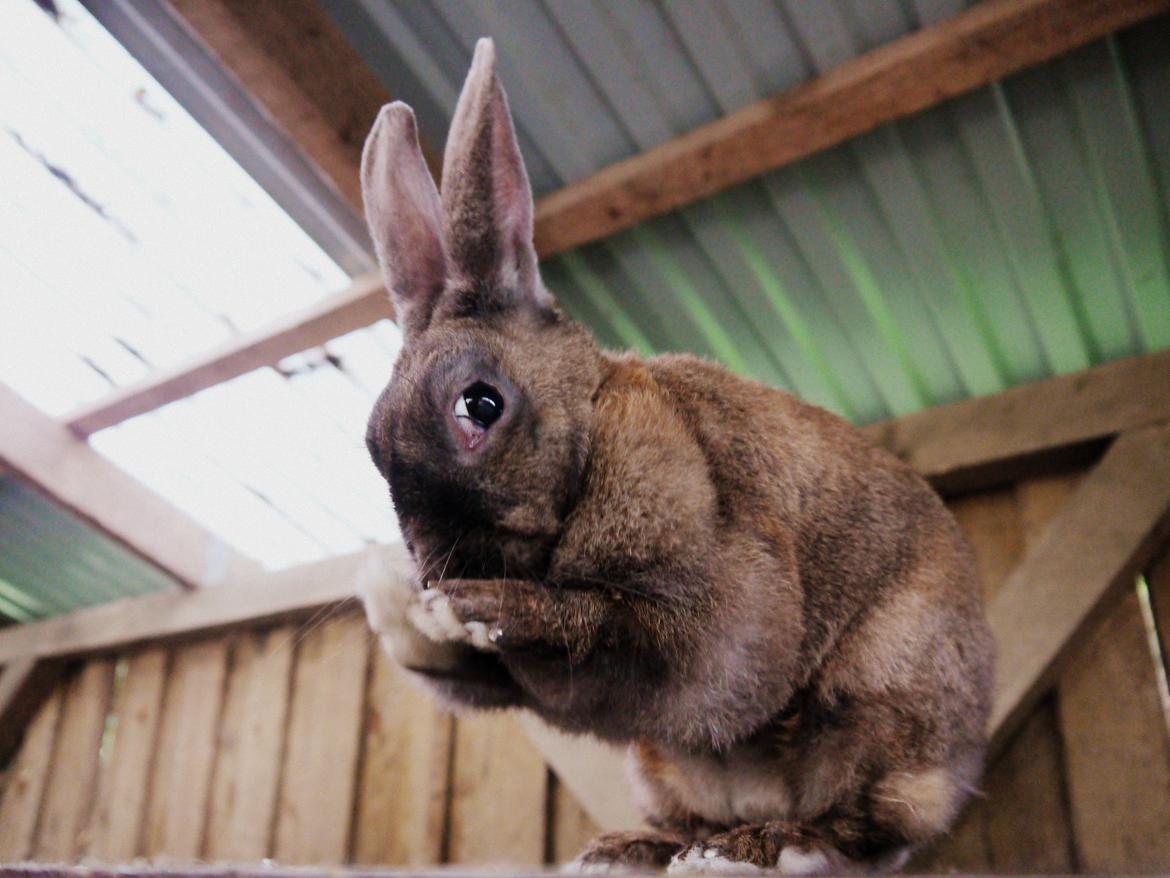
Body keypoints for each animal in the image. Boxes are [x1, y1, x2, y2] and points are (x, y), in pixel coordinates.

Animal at [358, 37, 996, 875]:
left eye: (481, 406)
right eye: (370, 444)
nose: (434, 570)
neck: (593, 426)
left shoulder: (719, 603)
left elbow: (616, 622)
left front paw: (481, 605)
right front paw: (408, 614)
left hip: (877, 708)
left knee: (870, 828)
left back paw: (765, 845)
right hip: (664, 767)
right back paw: (636, 848)